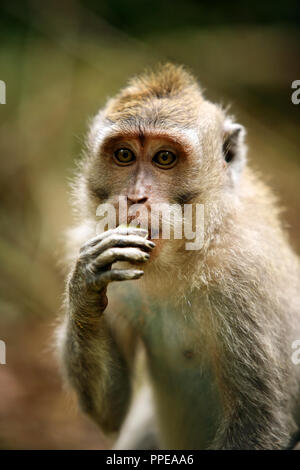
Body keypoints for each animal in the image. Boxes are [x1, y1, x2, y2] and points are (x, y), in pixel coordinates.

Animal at [55, 62, 300, 448]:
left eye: (165, 157)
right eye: (124, 155)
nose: (135, 197)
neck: (186, 255)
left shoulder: (246, 278)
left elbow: (260, 420)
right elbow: (112, 410)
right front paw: (86, 285)